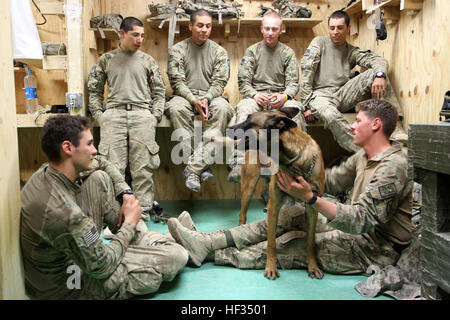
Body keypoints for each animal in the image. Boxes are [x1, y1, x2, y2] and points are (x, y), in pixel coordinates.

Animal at [229, 106, 324, 278]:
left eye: (248, 119)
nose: (228, 128)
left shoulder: (313, 208)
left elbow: (310, 241)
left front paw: (313, 266)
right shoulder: (275, 207)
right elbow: (271, 242)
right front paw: (271, 267)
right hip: (248, 187)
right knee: (242, 214)